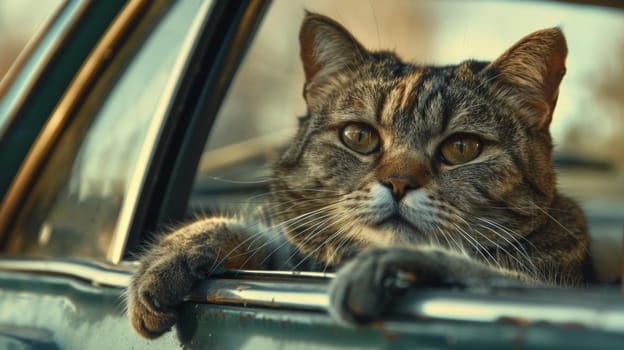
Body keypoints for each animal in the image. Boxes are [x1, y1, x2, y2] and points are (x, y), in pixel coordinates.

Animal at [127, 11, 596, 340]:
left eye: (462, 148)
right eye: (359, 137)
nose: (399, 184)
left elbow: (479, 270)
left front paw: (390, 264)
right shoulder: (300, 256)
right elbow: (268, 239)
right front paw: (177, 250)